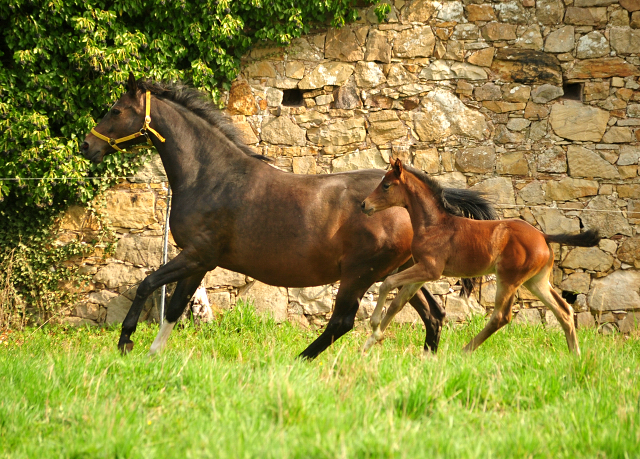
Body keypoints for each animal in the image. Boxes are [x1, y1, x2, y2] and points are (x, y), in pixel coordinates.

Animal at [80, 73, 498, 360]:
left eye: (115, 110)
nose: (87, 146)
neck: (211, 176)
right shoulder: (199, 262)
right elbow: (177, 306)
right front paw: (152, 354)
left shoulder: (196, 255)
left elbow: (147, 284)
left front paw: (126, 341)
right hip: (401, 270)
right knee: (434, 313)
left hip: (360, 273)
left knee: (343, 321)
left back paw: (299, 360)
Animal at [362, 160, 604, 358]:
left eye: (386, 185)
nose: (364, 205)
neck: (434, 224)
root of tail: (543, 236)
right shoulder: (422, 272)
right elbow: (398, 303)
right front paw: (371, 342)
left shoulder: (430, 269)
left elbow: (387, 283)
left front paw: (373, 326)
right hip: (536, 281)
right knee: (564, 310)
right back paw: (575, 356)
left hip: (509, 279)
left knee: (501, 316)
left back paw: (465, 351)